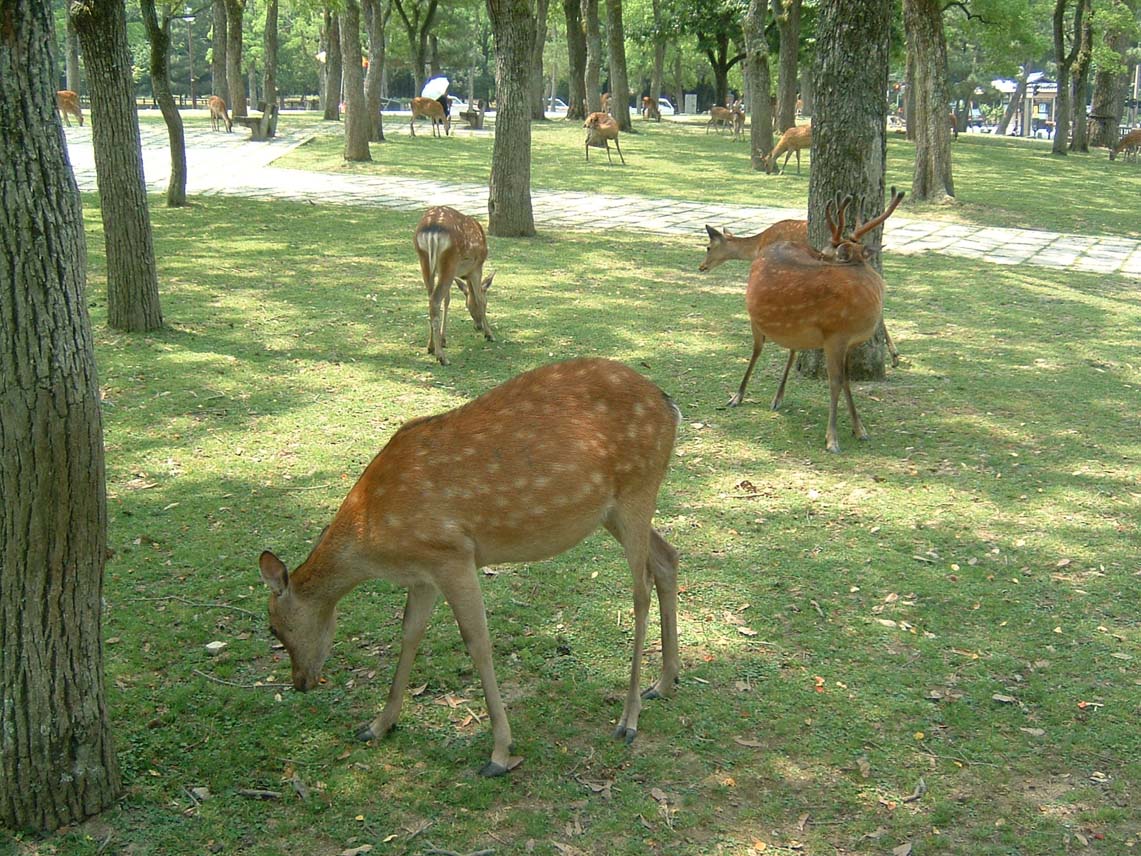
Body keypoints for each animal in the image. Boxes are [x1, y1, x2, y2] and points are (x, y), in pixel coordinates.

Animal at [258, 357, 682, 777]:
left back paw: (629, 719)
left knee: (640, 589)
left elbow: (477, 642)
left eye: (273, 627)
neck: (374, 537)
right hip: (611, 512)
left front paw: (499, 753)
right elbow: (410, 634)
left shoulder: (452, 554)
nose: (300, 682)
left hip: (637, 489)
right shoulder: (423, 573)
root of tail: (670, 406)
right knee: (668, 557)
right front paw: (378, 725)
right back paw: (664, 683)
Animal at [413, 206, 495, 366]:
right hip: (450, 260)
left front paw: (443, 339)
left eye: (467, 305)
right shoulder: (476, 267)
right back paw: (442, 357)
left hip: (425, 261)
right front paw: (489, 334)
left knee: (431, 298)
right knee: (435, 300)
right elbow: (479, 298)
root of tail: (432, 230)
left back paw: (431, 346)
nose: (478, 326)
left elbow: (447, 300)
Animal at [727, 188, 906, 453]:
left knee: (791, 350)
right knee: (757, 351)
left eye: (823, 253)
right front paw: (832, 439)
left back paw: (777, 398)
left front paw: (860, 429)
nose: (817, 254)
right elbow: (835, 382)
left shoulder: (850, 342)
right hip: (754, 319)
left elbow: (847, 380)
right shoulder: (835, 334)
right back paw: (737, 396)